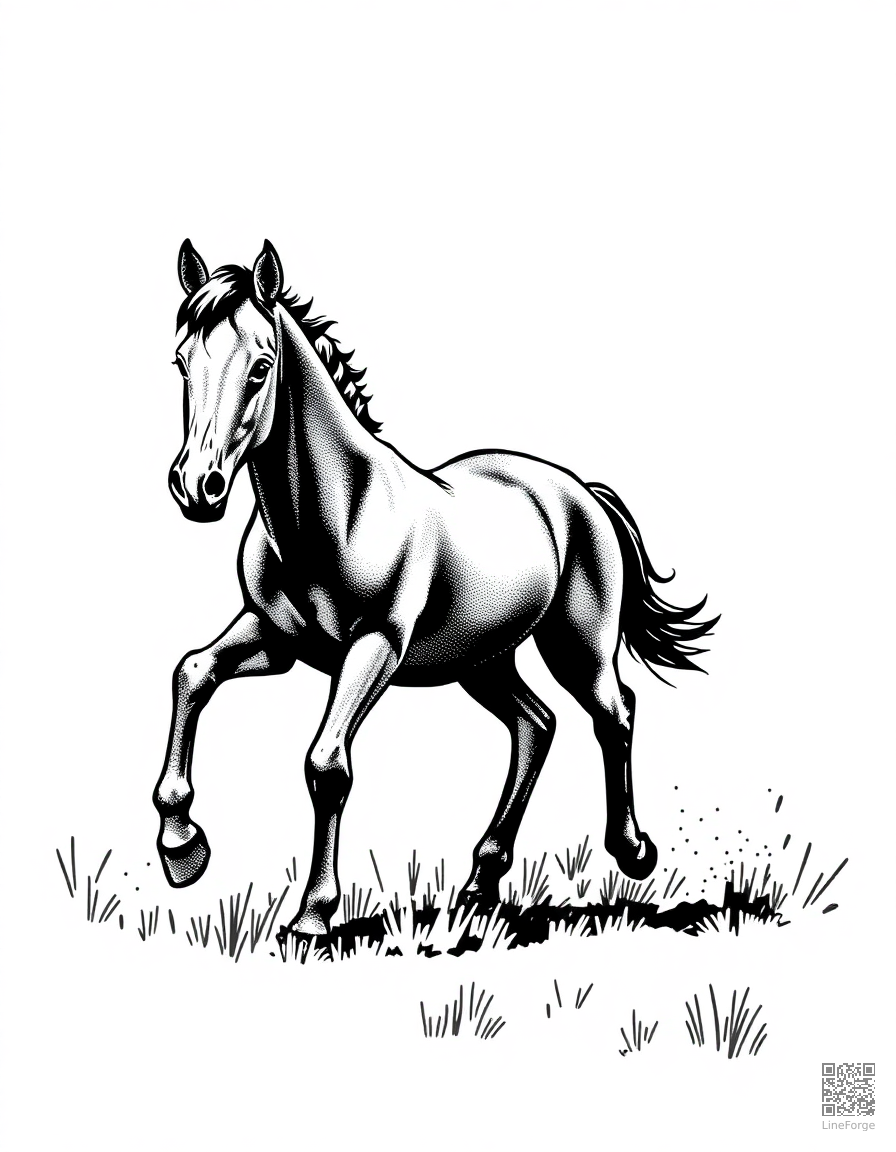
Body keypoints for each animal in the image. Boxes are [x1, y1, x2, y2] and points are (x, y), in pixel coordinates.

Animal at [154, 238, 718, 939]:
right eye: (181, 363)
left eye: (260, 369)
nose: (195, 487)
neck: (337, 510)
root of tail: (577, 492)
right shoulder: (274, 637)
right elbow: (191, 673)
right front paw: (181, 846)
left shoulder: (375, 647)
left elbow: (325, 765)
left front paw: (313, 914)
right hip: (481, 660)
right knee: (536, 724)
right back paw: (481, 880)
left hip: (578, 648)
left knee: (615, 713)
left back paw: (632, 850)